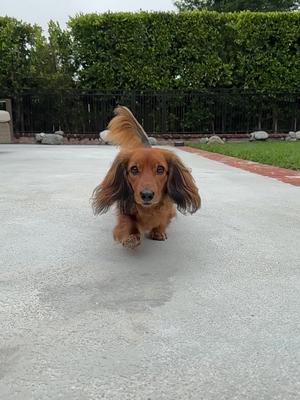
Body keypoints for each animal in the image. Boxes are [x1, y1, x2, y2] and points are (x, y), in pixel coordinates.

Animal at [91, 105, 199, 247]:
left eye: (160, 169)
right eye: (134, 169)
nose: (146, 195)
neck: (148, 210)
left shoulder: (168, 209)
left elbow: (163, 220)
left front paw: (158, 231)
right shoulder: (124, 207)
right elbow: (128, 222)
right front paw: (131, 236)